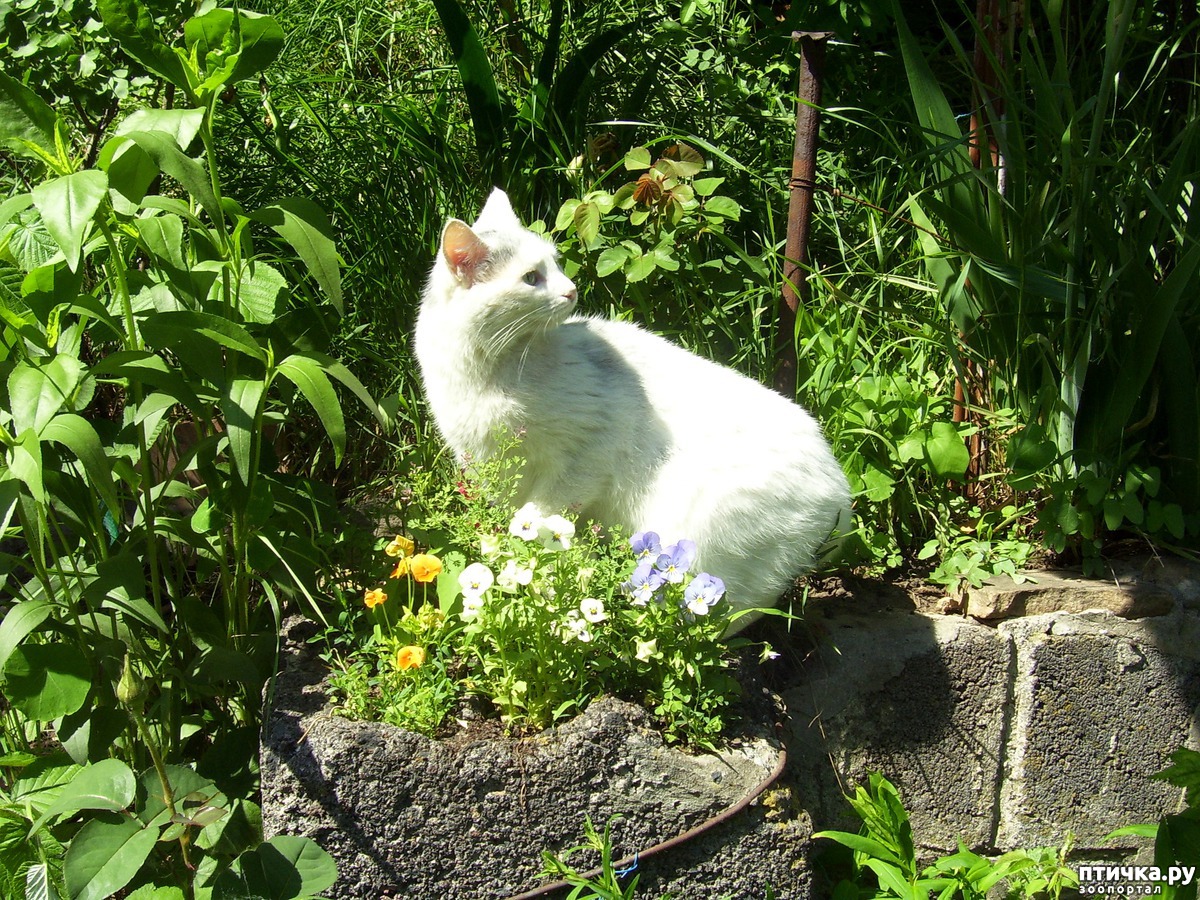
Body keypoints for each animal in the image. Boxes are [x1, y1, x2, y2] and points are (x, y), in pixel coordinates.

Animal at [414, 188, 851, 620]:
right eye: (531, 278)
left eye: (555, 264)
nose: (571, 289)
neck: (490, 374)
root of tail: (839, 489)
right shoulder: (492, 471)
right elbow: (514, 520)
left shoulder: (590, 449)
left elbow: (540, 512)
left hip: (710, 541)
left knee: (728, 612)